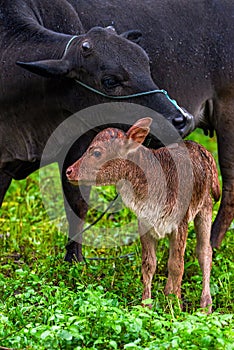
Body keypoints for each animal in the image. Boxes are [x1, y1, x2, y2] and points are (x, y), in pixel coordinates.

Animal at [0, 0, 233, 260]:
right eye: (110, 81)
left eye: (147, 65)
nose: (181, 119)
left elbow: (77, 202)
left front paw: (75, 259)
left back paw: (208, 246)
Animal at [66, 117, 220, 312]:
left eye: (97, 153)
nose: (69, 171)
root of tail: (203, 150)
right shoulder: (145, 223)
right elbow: (149, 264)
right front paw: (146, 304)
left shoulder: (181, 222)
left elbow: (177, 265)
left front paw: (176, 306)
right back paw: (168, 293)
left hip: (206, 205)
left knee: (205, 252)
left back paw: (206, 304)